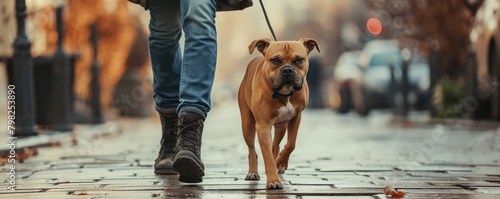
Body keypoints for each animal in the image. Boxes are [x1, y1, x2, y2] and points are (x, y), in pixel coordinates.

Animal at [237, 38, 320, 189]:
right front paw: (273, 179)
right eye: (275, 60)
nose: (287, 70)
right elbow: (267, 155)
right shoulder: (263, 126)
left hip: (281, 126)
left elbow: (291, 144)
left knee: (276, 145)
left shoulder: (295, 119)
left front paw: (279, 162)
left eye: (299, 59)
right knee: (252, 150)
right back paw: (253, 173)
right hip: (247, 125)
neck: (284, 93)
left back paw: (280, 163)